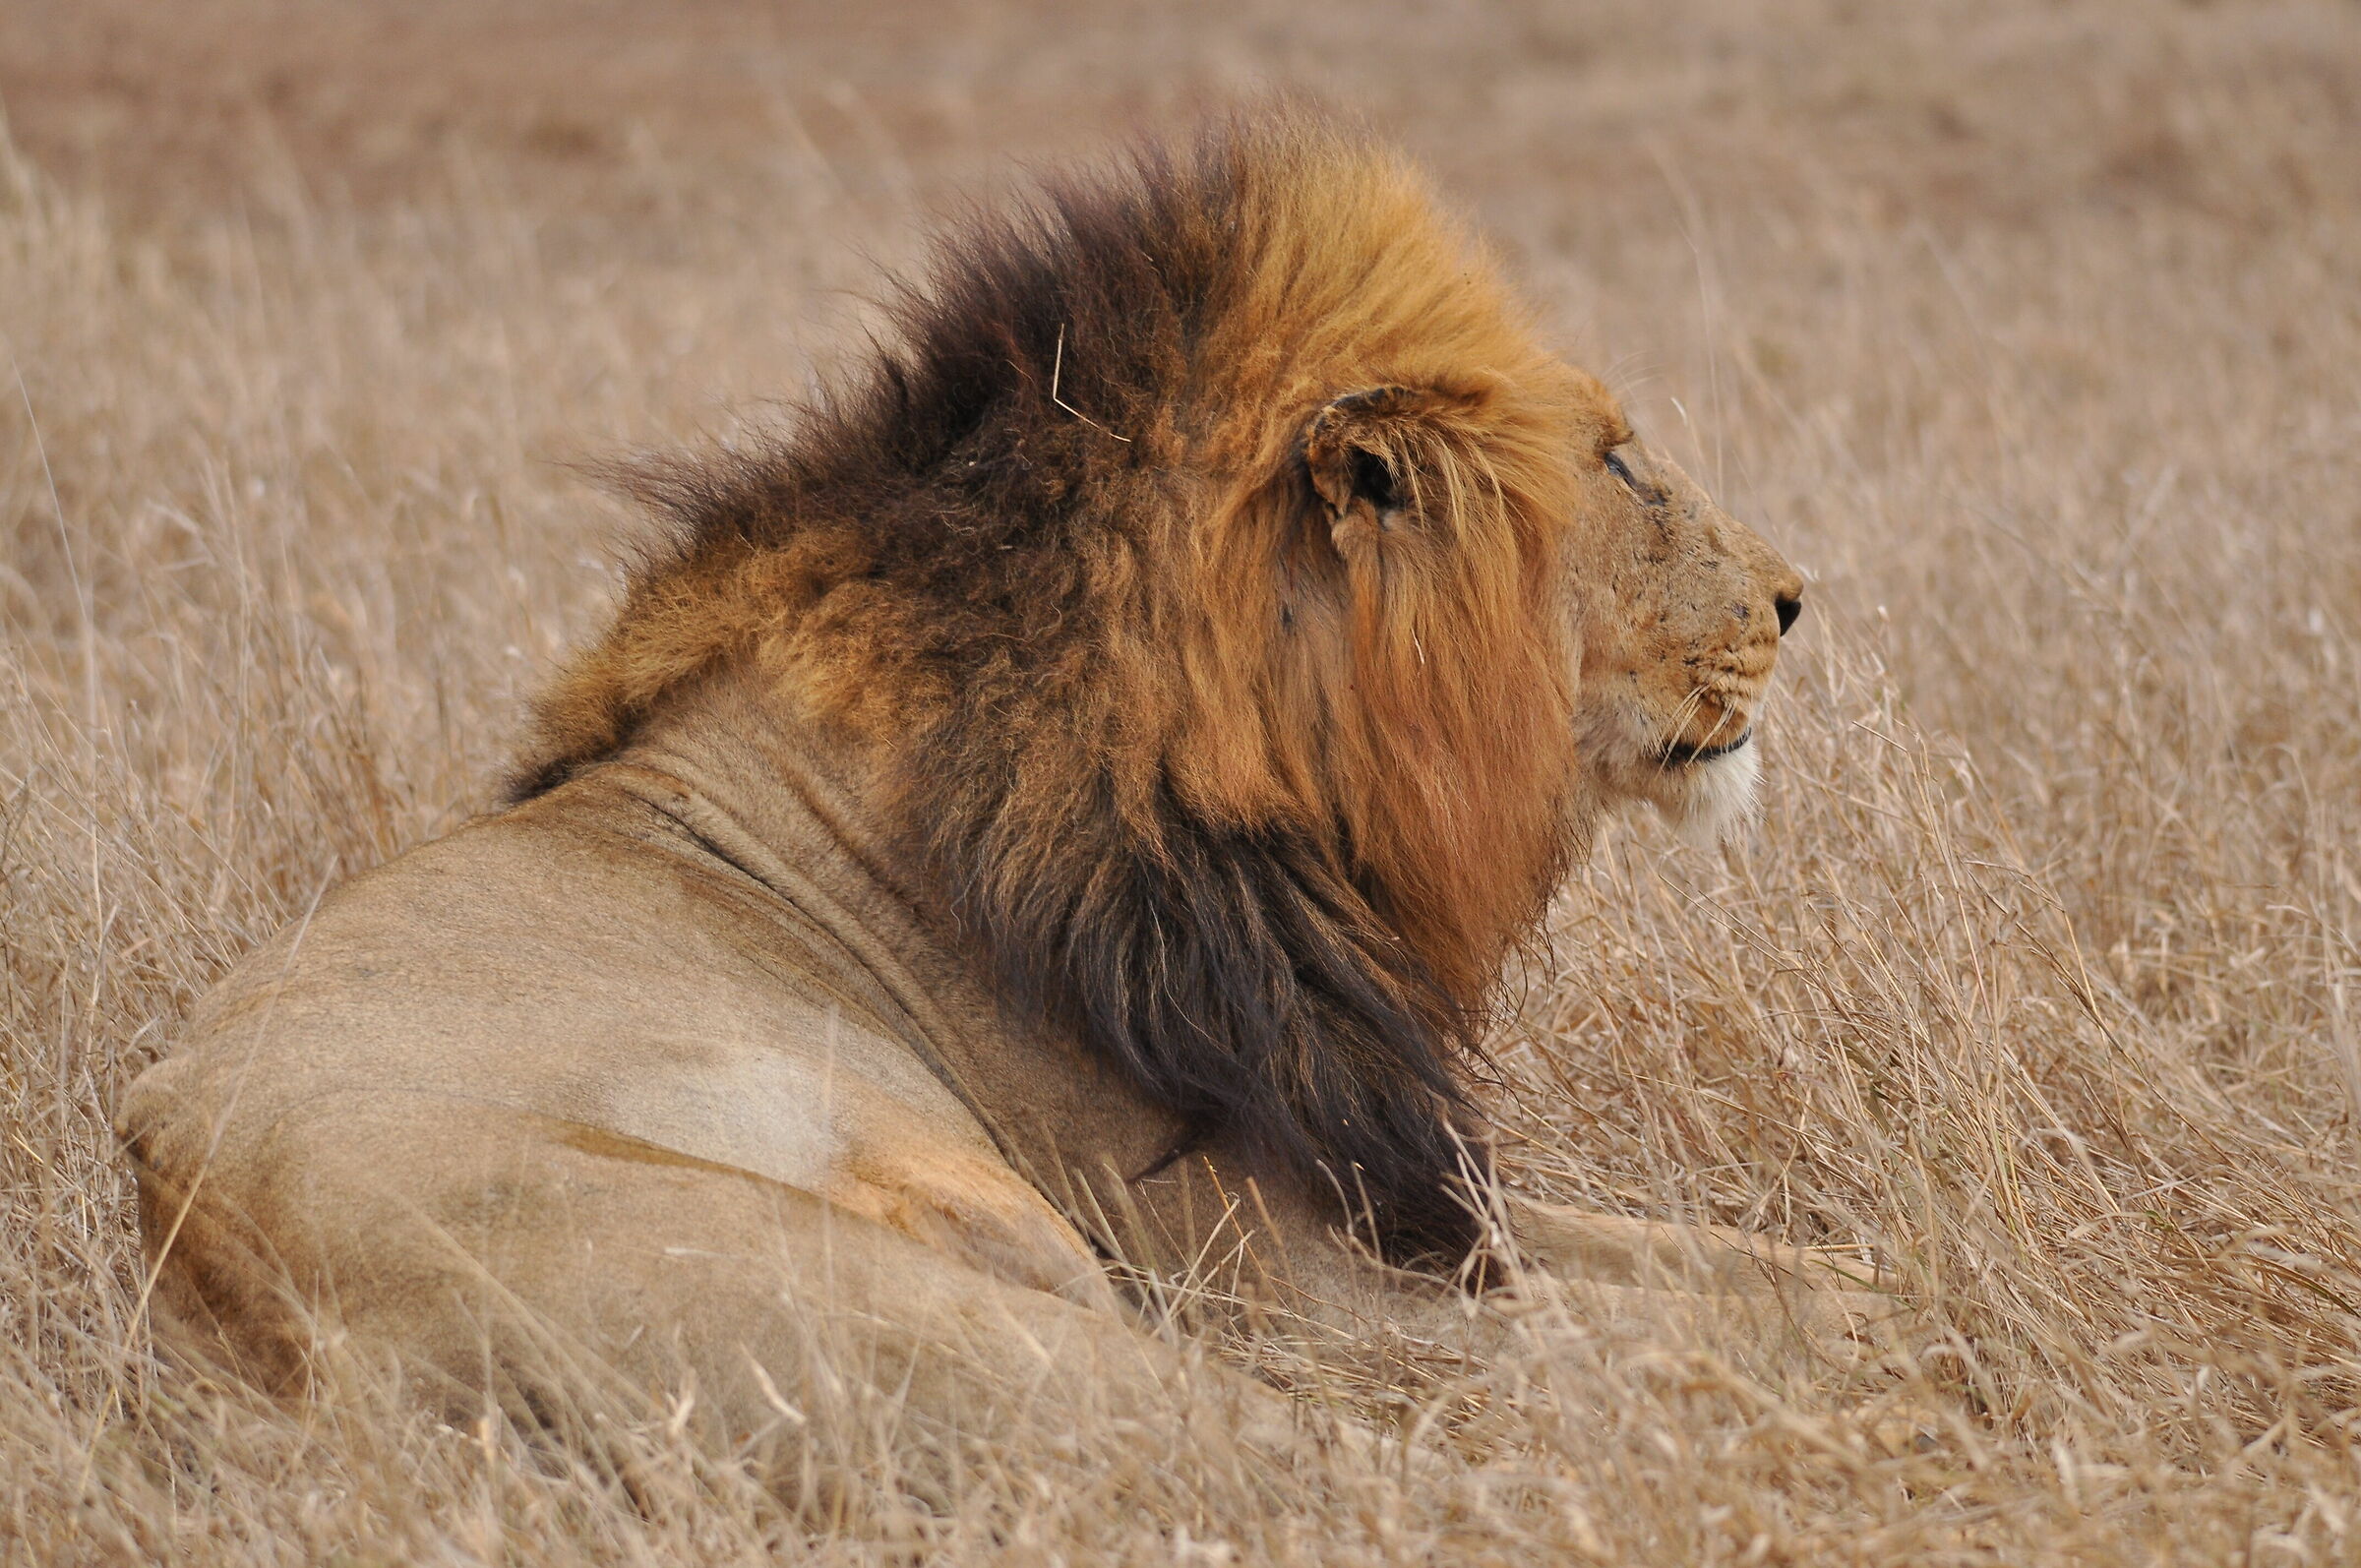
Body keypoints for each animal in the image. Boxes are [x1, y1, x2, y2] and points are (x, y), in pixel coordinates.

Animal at [118, 115, 1846, 1501]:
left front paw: (1857, 1274)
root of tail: (235, 1275)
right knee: (1282, 1442)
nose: (1791, 596)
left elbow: (1737, 1260)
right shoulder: (1260, 1258)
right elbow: (1637, 1313)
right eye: (1619, 466)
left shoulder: (1396, 1188)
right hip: (923, 1284)